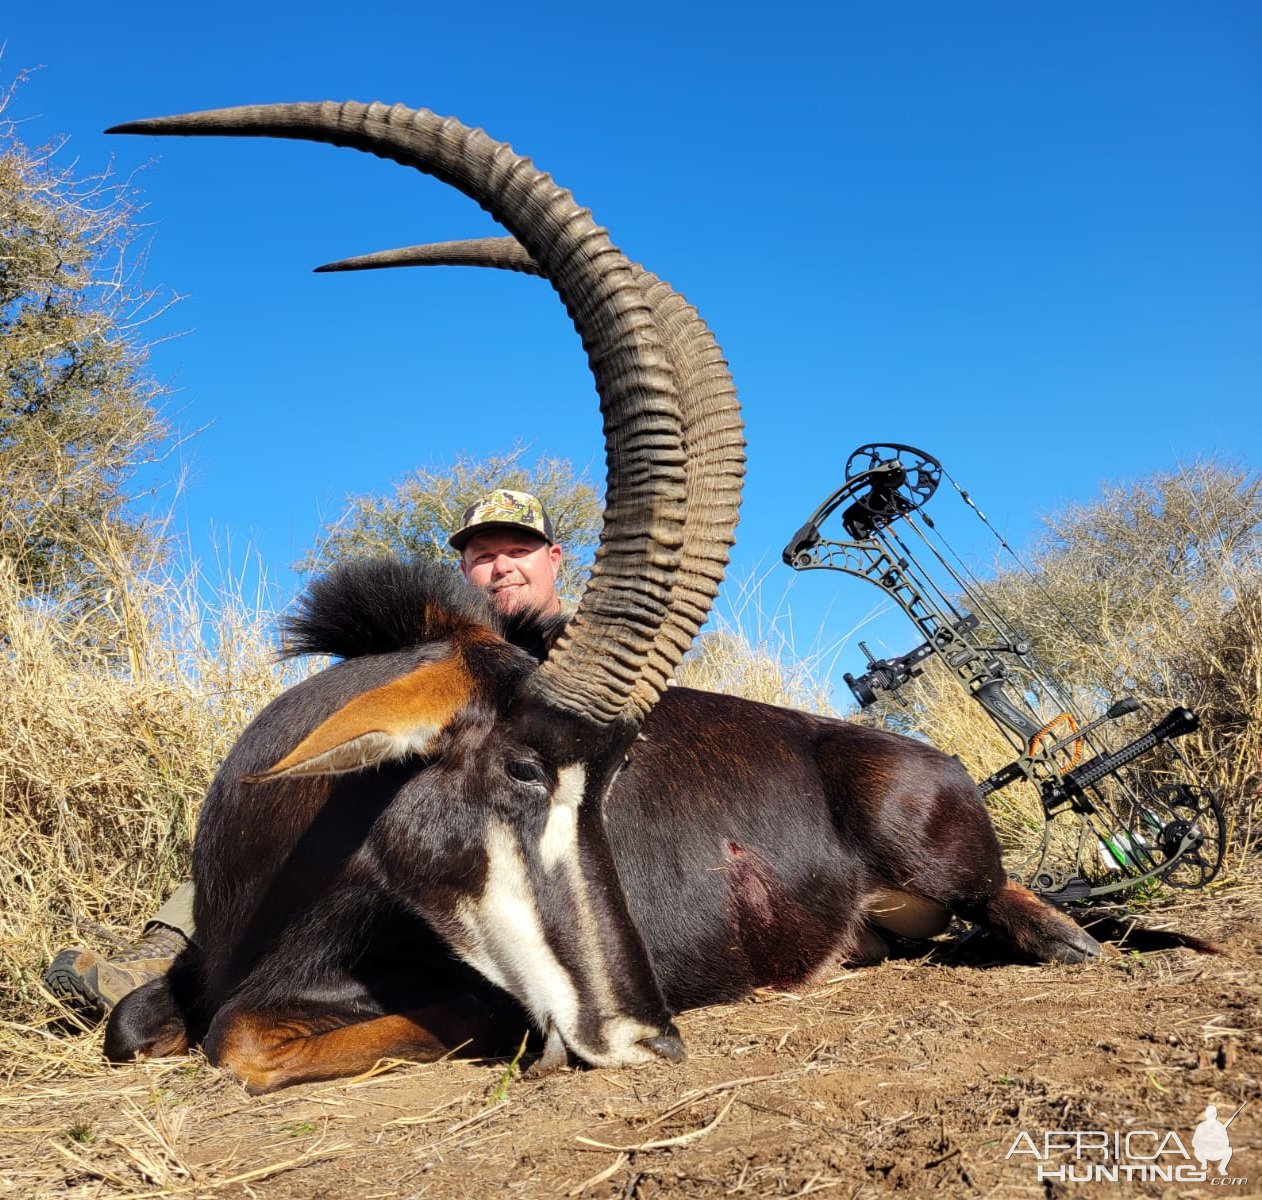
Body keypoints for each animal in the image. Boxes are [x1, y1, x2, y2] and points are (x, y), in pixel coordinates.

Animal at [103, 105, 1100, 1100]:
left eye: (613, 784)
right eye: (523, 769)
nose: (645, 1037)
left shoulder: (461, 999)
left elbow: (242, 1036)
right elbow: (135, 1021)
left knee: (1017, 906)